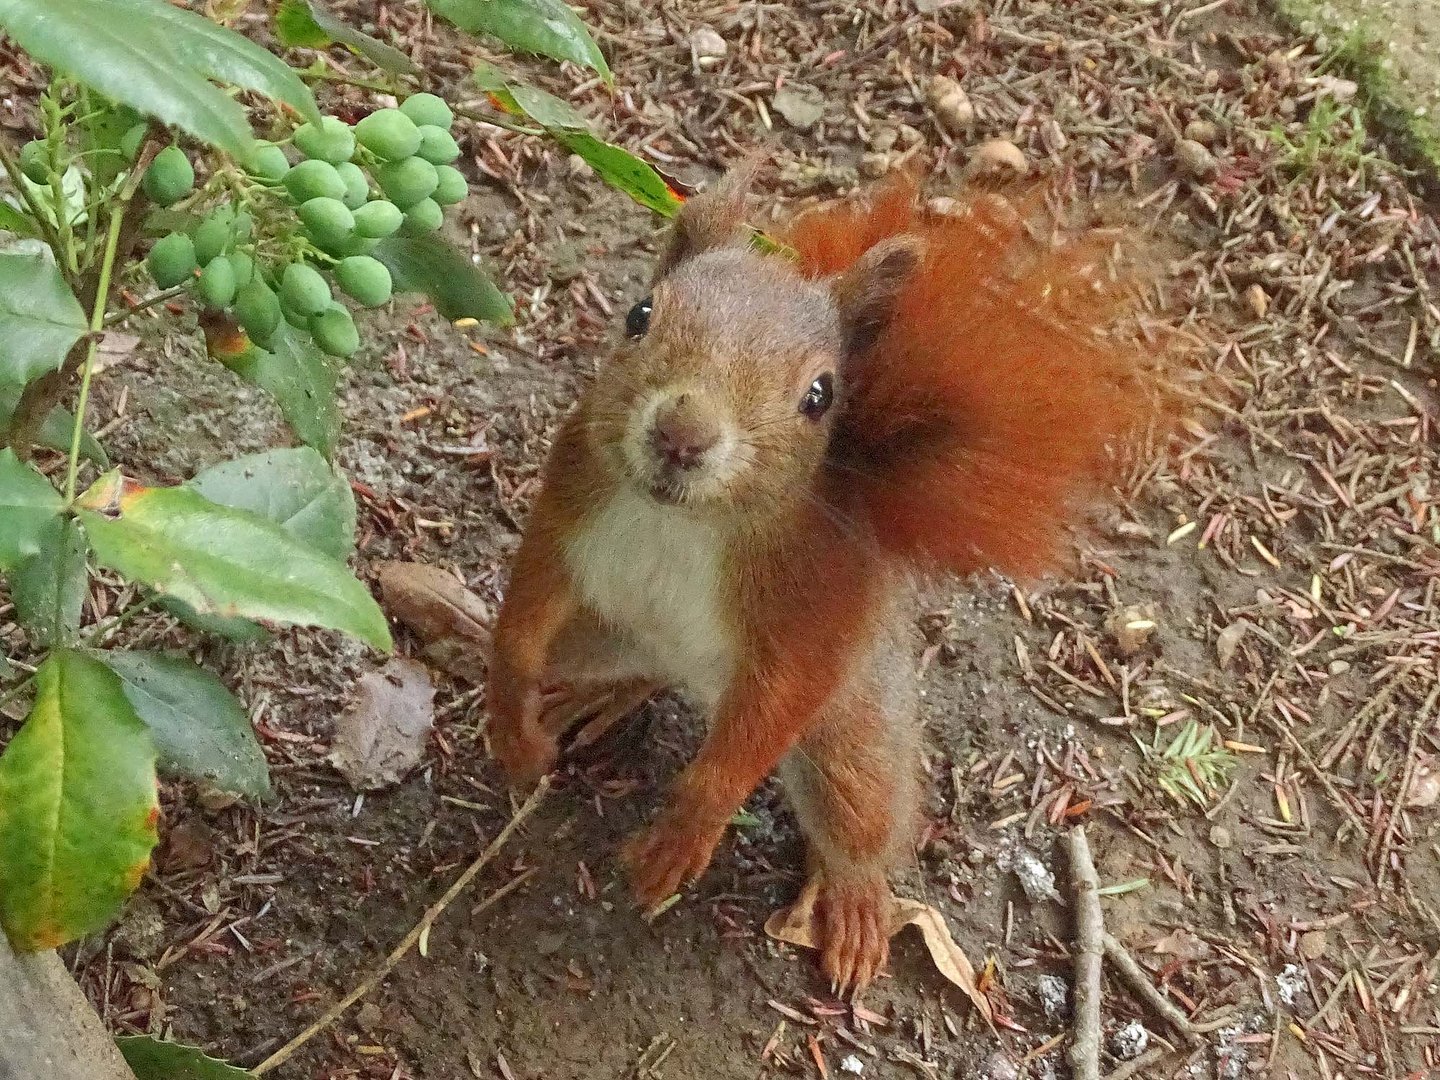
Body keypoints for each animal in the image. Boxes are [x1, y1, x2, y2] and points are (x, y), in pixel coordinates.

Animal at [483, 171, 1169, 996]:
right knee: (629, 667)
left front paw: (676, 844)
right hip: (600, 635)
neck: (689, 519)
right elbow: (520, 625)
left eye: (820, 394)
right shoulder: (569, 508)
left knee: (861, 820)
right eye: (639, 315)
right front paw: (511, 728)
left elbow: (753, 736)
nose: (683, 434)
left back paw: (855, 909)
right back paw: (588, 697)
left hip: (854, 738)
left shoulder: (812, 614)